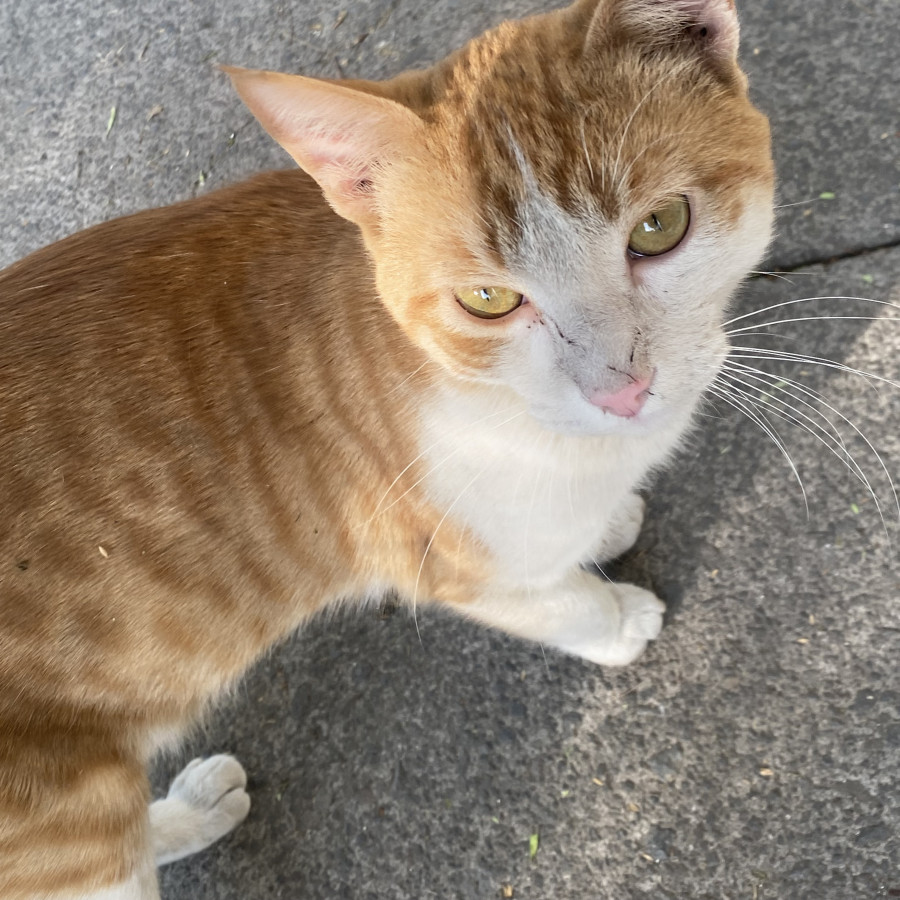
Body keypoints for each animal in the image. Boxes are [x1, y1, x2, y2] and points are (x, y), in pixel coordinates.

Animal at [0, 0, 772, 896]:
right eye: (487, 300)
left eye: (659, 226)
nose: (622, 389)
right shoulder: (438, 556)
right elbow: (554, 601)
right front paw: (612, 615)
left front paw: (603, 525)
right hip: (66, 821)